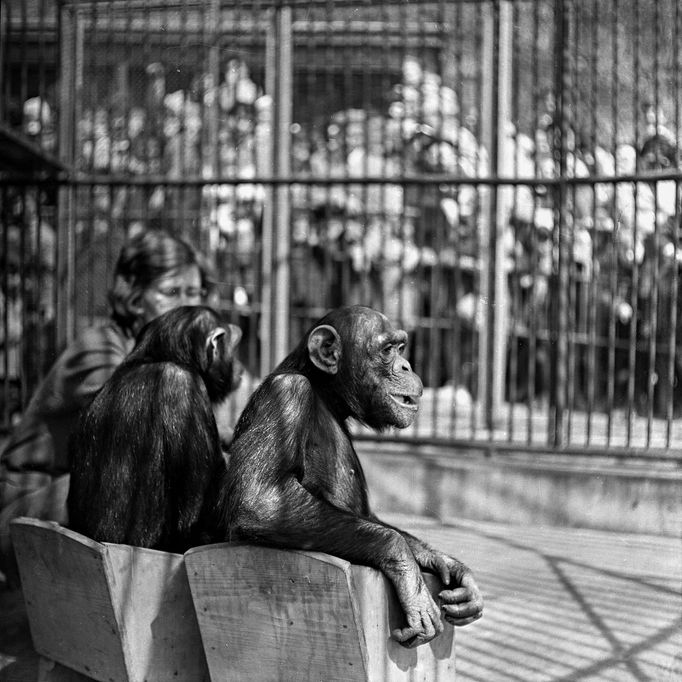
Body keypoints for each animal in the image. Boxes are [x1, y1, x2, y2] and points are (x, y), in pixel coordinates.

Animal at [220, 306, 480, 644]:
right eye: (387, 350)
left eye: (401, 347)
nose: (407, 365)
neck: (325, 393)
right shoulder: (285, 396)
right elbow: (260, 501)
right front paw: (407, 571)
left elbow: (370, 517)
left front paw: (444, 562)